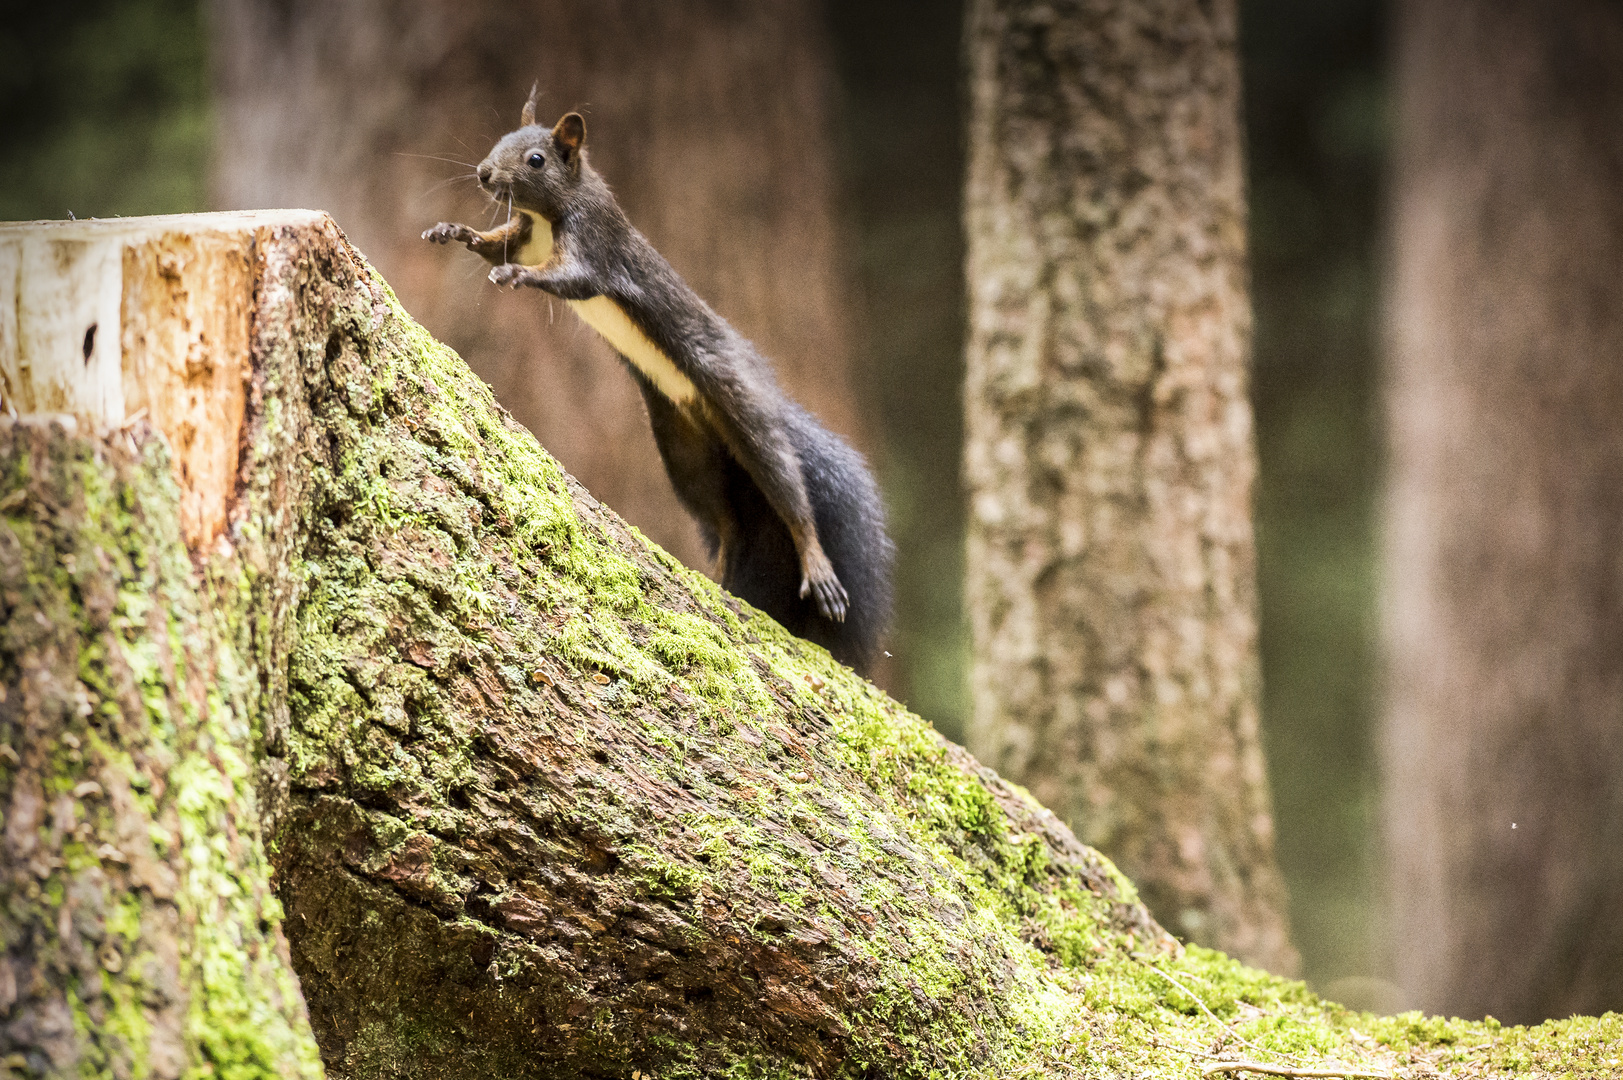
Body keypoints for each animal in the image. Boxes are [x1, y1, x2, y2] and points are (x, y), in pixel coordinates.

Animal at [418, 92, 895, 669]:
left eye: (536, 159)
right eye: (500, 139)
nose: (485, 173)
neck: (550, 214)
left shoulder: (594, 245)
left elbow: (571, 278)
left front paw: (517, 276)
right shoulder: (524, 235)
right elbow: (493, 244)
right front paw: (455, 231)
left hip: (741, 410)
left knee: (790, 495)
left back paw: (816, 567)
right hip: (684, 448)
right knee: (726, 521)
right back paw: (721, 580)